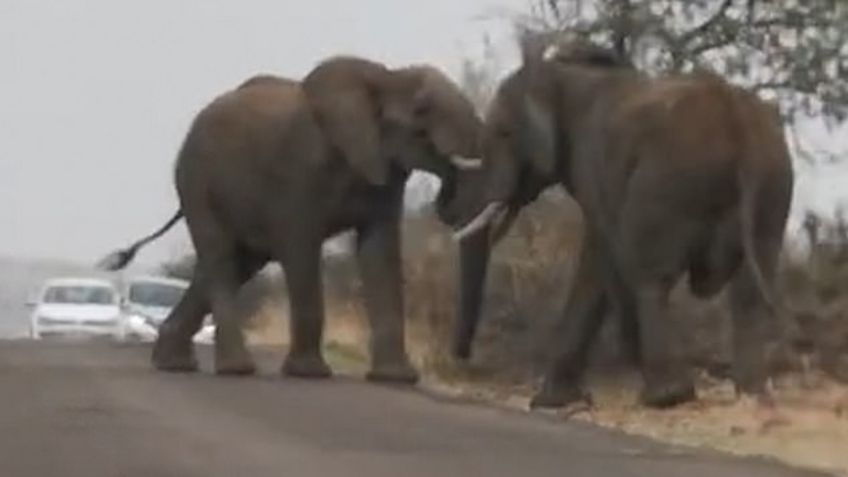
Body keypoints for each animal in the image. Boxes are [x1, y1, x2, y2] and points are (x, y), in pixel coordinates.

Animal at [97, 55, 484, 384]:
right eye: (422, 111)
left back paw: (173, 364)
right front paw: (309, 374)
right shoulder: (298, 171)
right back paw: (235, 370)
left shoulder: (384, 175)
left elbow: (380, 253)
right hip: (196, 182)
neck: (385, 76)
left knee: (235, 265)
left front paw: (395, 379)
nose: (445, 201)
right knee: (220, 258)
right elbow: (301, 249)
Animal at [444, 38, 796, 410]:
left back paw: (667, 396)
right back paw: (752, 394)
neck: (555, 72)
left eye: (503, 133)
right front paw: (558, 401)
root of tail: (736, 119)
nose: (462, 358)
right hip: (773, 185)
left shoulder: (590, 164)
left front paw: (550, 402)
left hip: (669, 179)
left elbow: (598, 252)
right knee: (750, 288)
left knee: (652, 278)